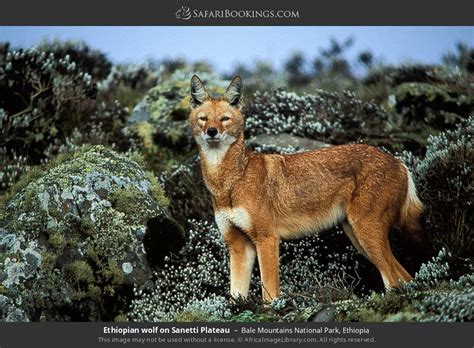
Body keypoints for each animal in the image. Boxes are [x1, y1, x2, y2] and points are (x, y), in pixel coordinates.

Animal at [187, 75, 424, 304]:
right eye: (204, 118)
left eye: (224, 119)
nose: (212, 131)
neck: (230, 181)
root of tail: (399, 162)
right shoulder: (238, 247)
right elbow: (235, 296)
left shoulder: (267, 239)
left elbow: (269, 296)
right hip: (358, 238)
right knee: (404, 277)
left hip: (365, 234)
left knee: (394, 279)